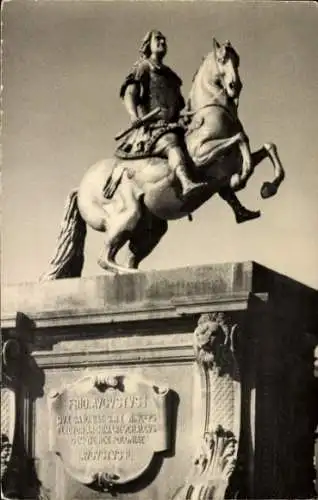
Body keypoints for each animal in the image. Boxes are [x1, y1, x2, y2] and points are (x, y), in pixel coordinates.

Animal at [40, 38, 286, 280]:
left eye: (237, 60)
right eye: (222, 59)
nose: (236, 86)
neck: (211, 115)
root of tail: (81, 187)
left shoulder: (227, 166)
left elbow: (267, 147)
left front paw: (267, 187)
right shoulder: (201, 156)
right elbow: (240, 140)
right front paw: (241, 179)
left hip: (151, 228)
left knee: (128, 256)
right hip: (127, 216)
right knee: (105, 258)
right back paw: (136, 274)